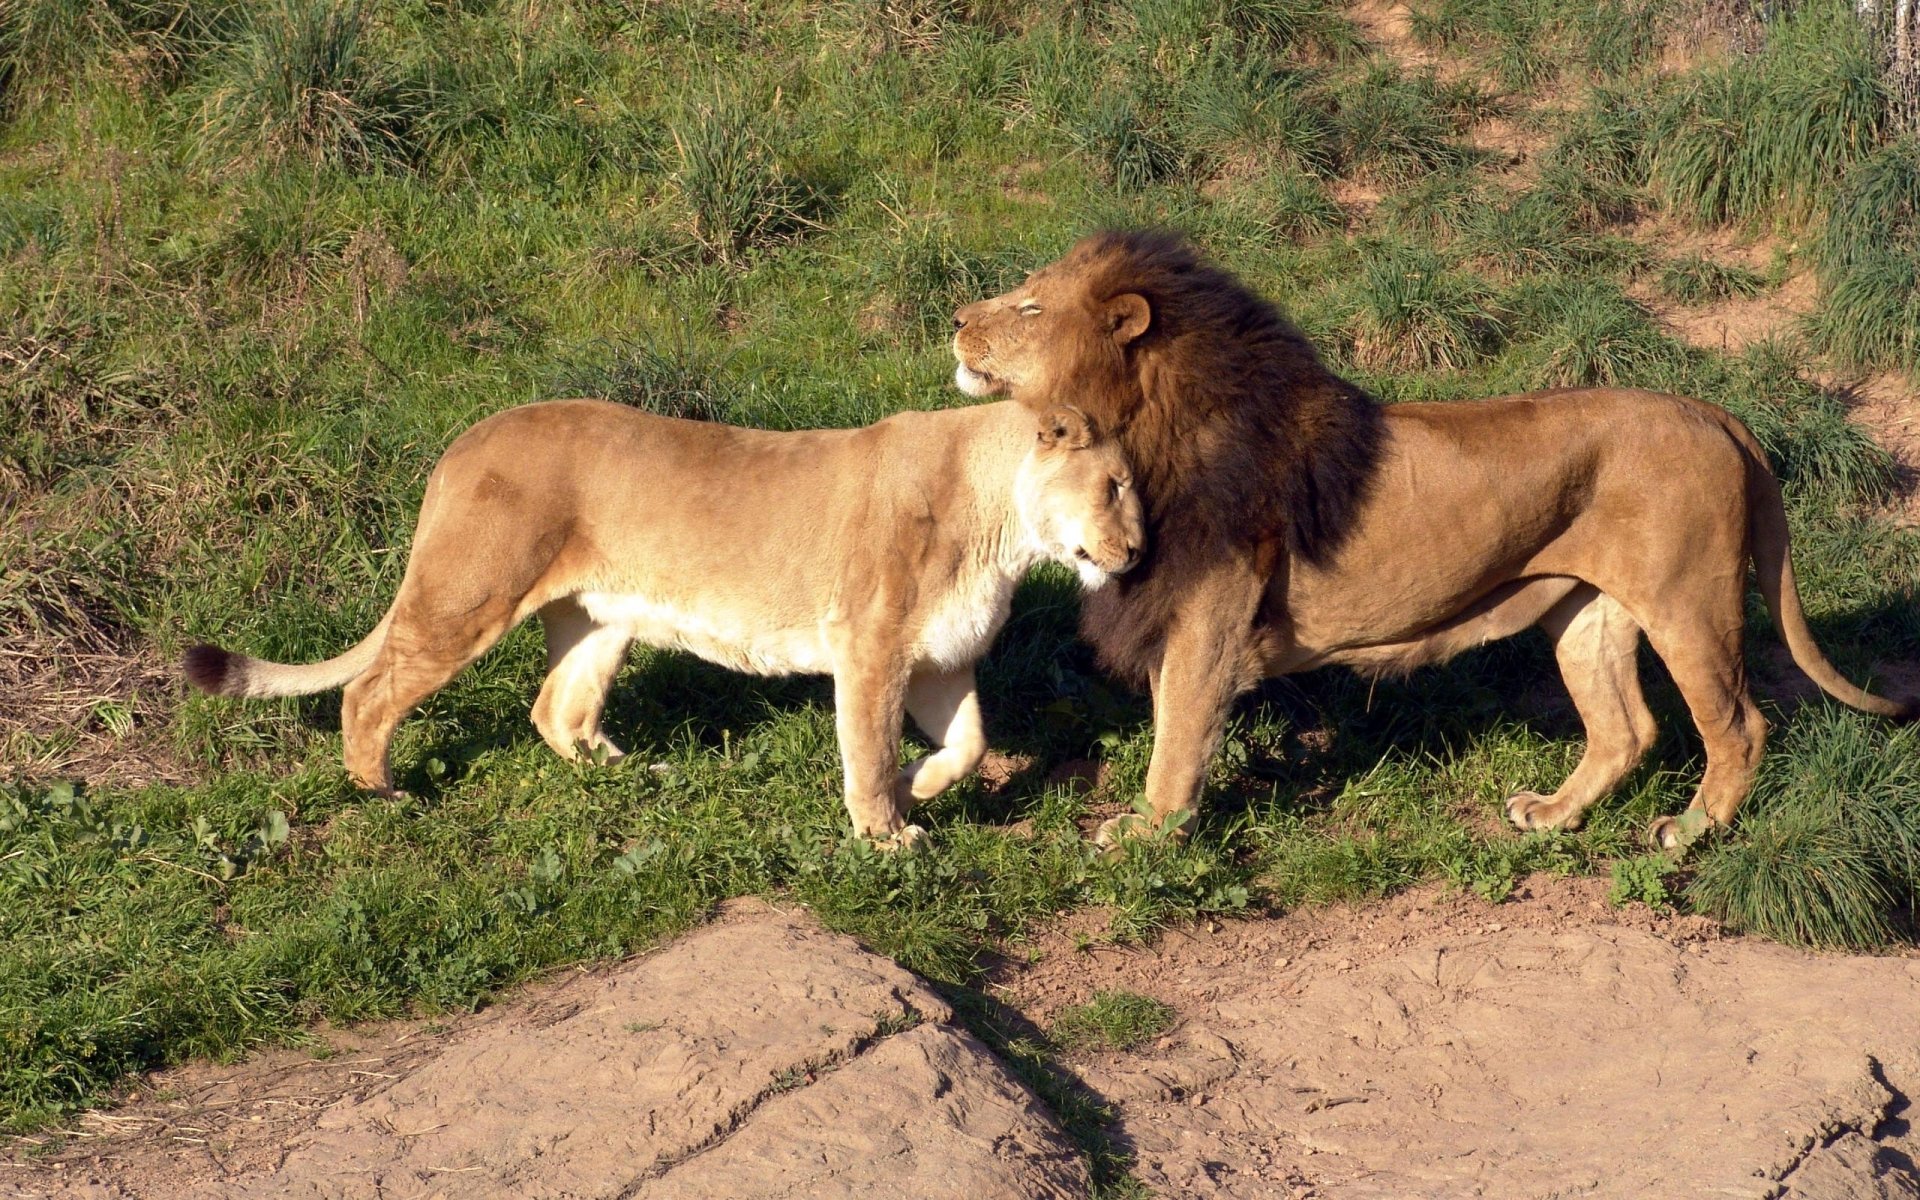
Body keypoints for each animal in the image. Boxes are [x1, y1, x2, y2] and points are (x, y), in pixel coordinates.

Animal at [183, 398, 1143, 844]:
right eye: (1115, 486)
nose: (1136, 552)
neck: (1002, 528)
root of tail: (463, 443)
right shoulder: (869, 648)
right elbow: (866, 752)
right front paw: (886, 835)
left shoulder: (940, 658)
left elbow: (970, 745)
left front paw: (918, 789)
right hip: (469, 595)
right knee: (373, 692)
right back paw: (381, 791)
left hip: (600, 619)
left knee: (554, 708)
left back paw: (629, 773)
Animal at [952, 230, 1912, 848]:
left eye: (1029, 304)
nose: (957, 318)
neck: (1135, 432)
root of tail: (1714, 412)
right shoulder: (1177, 612)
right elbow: (1168, 725)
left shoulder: (1207, 624)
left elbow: (1177, 741)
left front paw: (1148, 837)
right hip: (1587, 611)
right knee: (1627, 729)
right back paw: (1552, 816)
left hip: (1690, 604)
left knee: (1740, 726)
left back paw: (1689, 831)